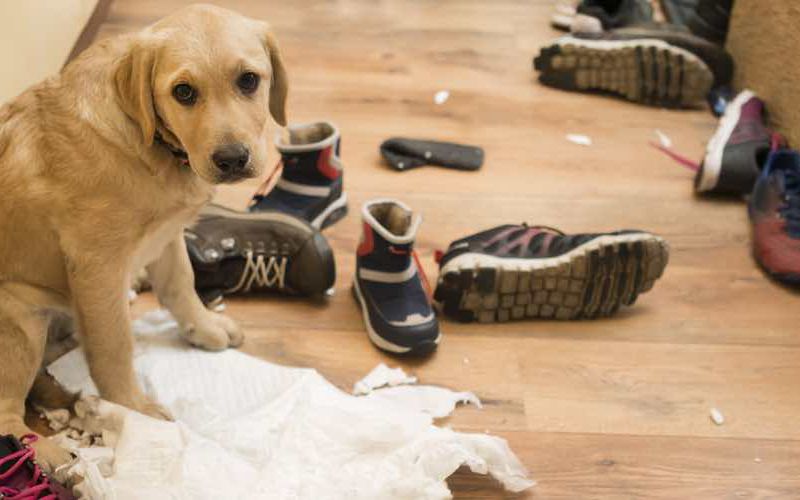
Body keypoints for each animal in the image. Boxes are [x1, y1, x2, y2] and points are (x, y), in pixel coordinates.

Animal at [0, 3, 288, 468]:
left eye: (248, 80)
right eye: (183, 92)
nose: (231, 159)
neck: (148, 141)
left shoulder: (167, 234)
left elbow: (181, 285)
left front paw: (204, 327)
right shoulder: (97, 266)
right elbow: (114, 344)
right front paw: (131, 409)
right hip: (20, 325)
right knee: (5, 414)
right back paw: (49, 454)